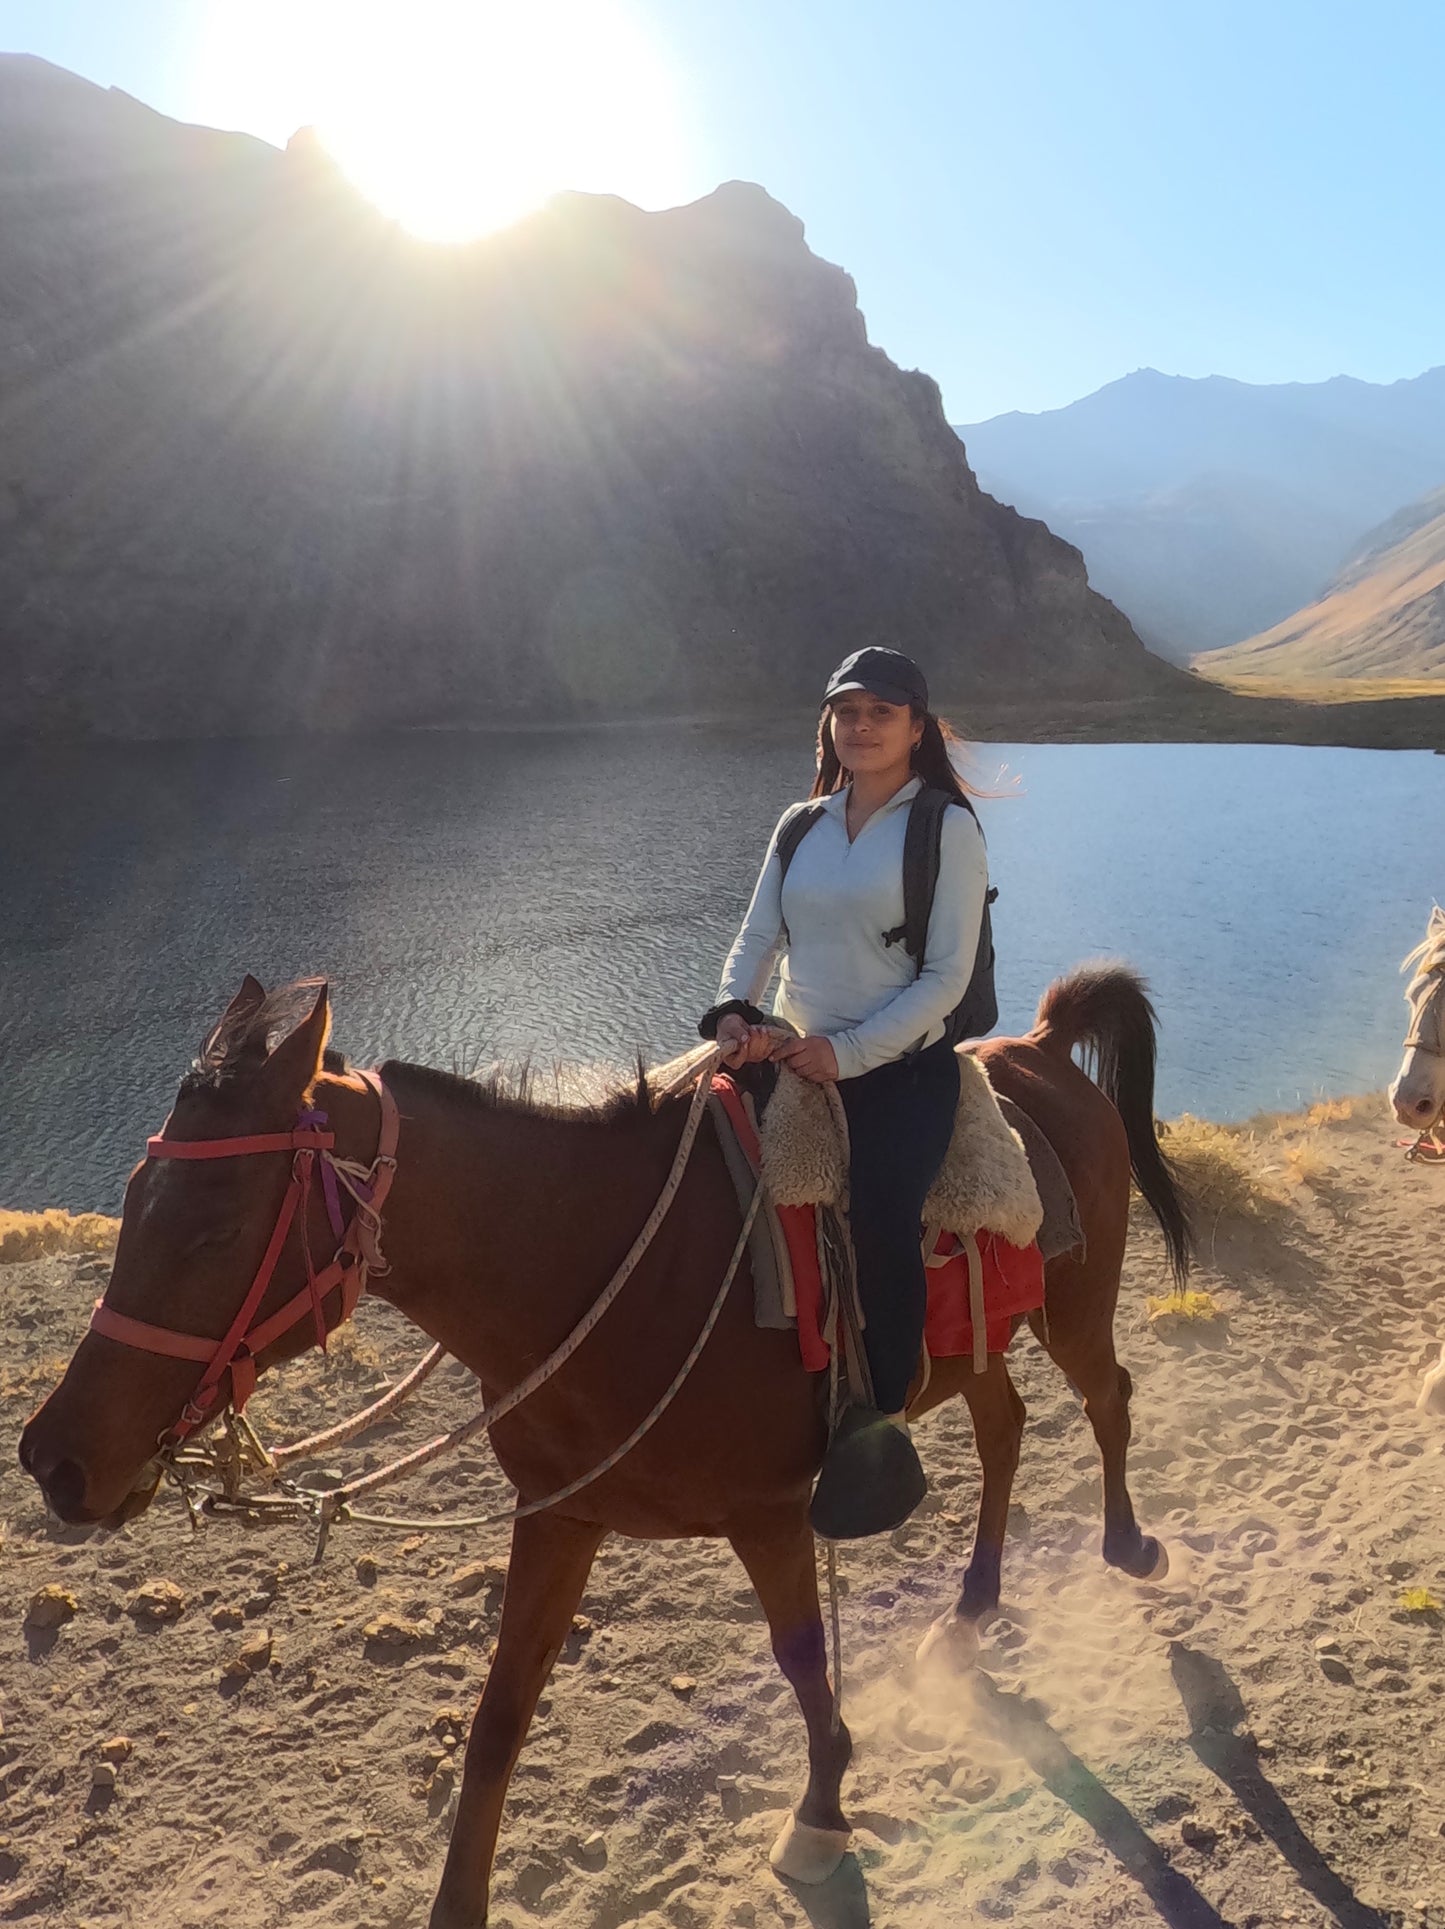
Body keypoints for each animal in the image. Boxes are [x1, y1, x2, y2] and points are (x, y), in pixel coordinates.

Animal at [22, 964, 1188, 1929]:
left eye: (216, 1227)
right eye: (131, 1202)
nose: (53, 1459)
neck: (607, 1270)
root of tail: (1039, 1048)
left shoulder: (771, 1515)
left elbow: (803, 1666)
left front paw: (818, 1815)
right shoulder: (559, 1514)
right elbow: (498, 1718)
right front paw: (459, 1901)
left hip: (1074, 1313)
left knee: (1109, 1399)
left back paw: (1128, 1548)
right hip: (983, 1341)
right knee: (1004, 1428)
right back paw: (971, 1608)